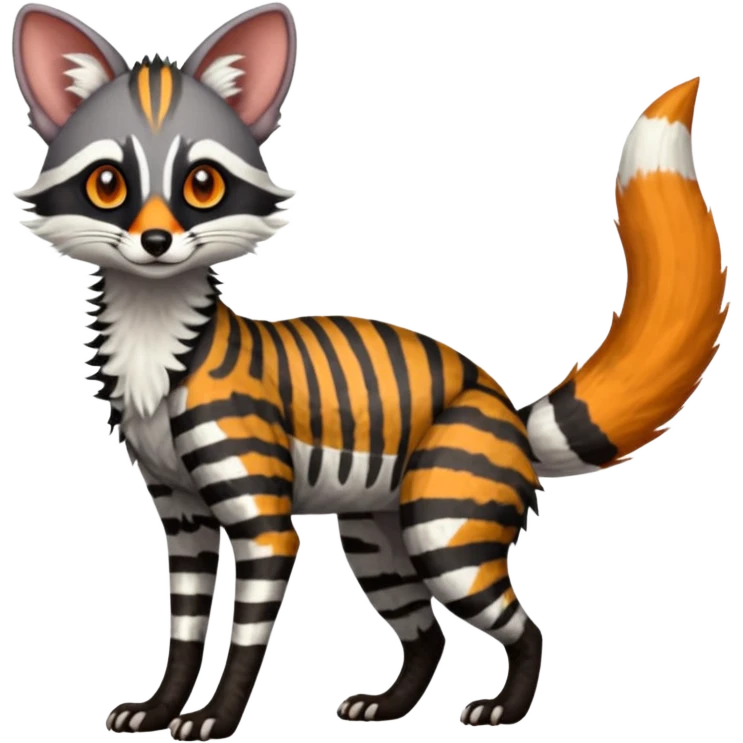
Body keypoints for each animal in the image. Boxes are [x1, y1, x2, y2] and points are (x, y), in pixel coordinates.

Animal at [10, 2, 728, 739]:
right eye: (108, 184)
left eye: (201, 184)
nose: (156, 243)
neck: (154, 342)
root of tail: (505, 405)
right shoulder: (181, 517)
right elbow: (182, 632)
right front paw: (159, 709)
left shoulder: (264, 523)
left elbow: (244, 638)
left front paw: (216, 718)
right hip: (375, 534)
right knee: (428, 636)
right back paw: (387, 708)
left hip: (443, 531)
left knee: (527, 629)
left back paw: (504, 708)